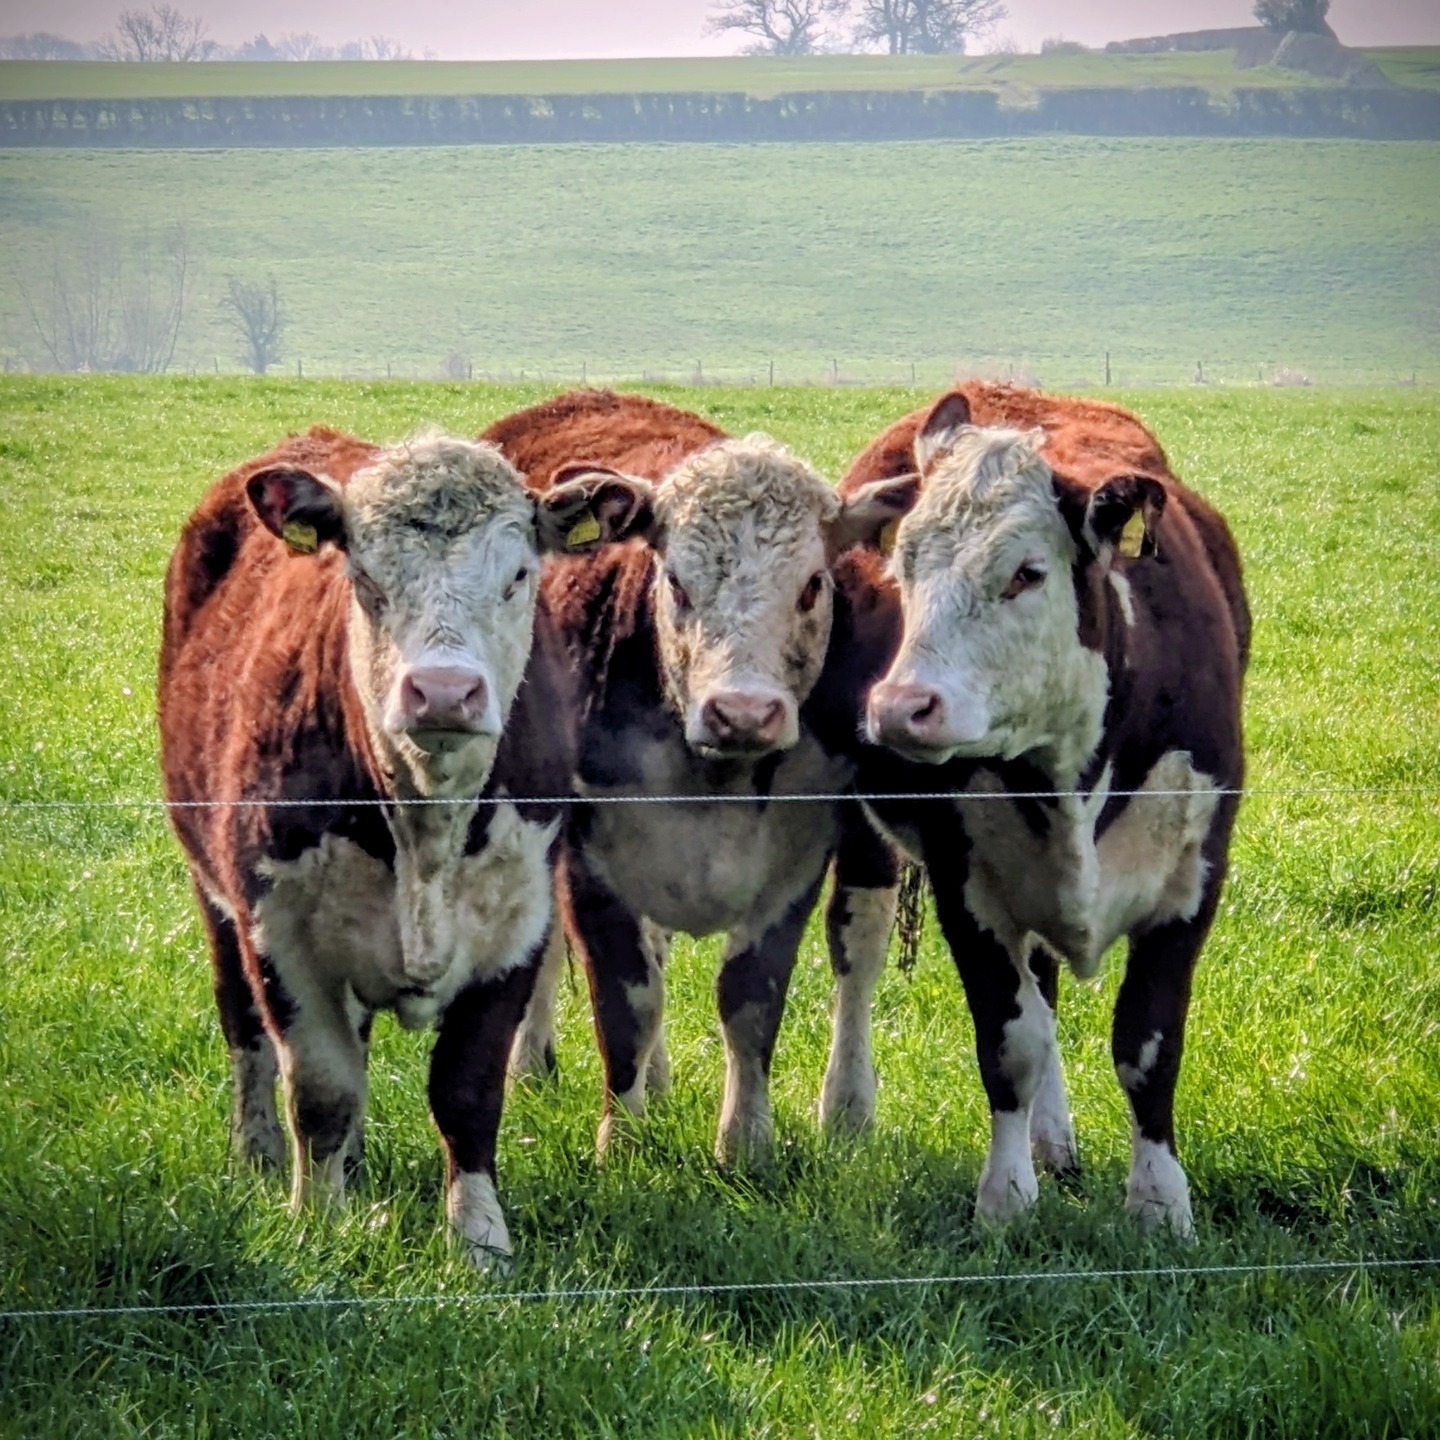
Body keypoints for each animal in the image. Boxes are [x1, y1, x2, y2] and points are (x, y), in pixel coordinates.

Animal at [158, 424, 647, 1267]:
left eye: (518, 575)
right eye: (364, 577)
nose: (444, 692)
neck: (427, 825)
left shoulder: (516, 929)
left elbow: (467, 1090)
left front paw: (480, 1239)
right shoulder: (281, 932)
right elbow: (321, 1089)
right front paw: (317, 1222)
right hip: (212, 892)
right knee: (245, 1030)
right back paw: (260, 1152)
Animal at [481, 390, 913, 1164]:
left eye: (812, 585)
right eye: (677, 582)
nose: (743, 711)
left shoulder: (795, 861)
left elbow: (751, 997)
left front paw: (744, 1144)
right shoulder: (592, 859)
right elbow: (627, 999)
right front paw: (621, 1143)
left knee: (857, 951)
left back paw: (847, 1109)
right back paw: (543, 1065)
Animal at [839, 384, 1249, 1235]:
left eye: (1027, 572)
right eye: (904, 561)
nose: (899, 707)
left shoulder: (1194, 879)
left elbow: (1148, 1042)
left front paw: (1160, 1201)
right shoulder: (966, 885)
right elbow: (1011, 1042)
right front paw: (1005, 1196)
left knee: (1049, 983)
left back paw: (1056, 1142)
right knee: (858, 951)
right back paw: (848, 1110)